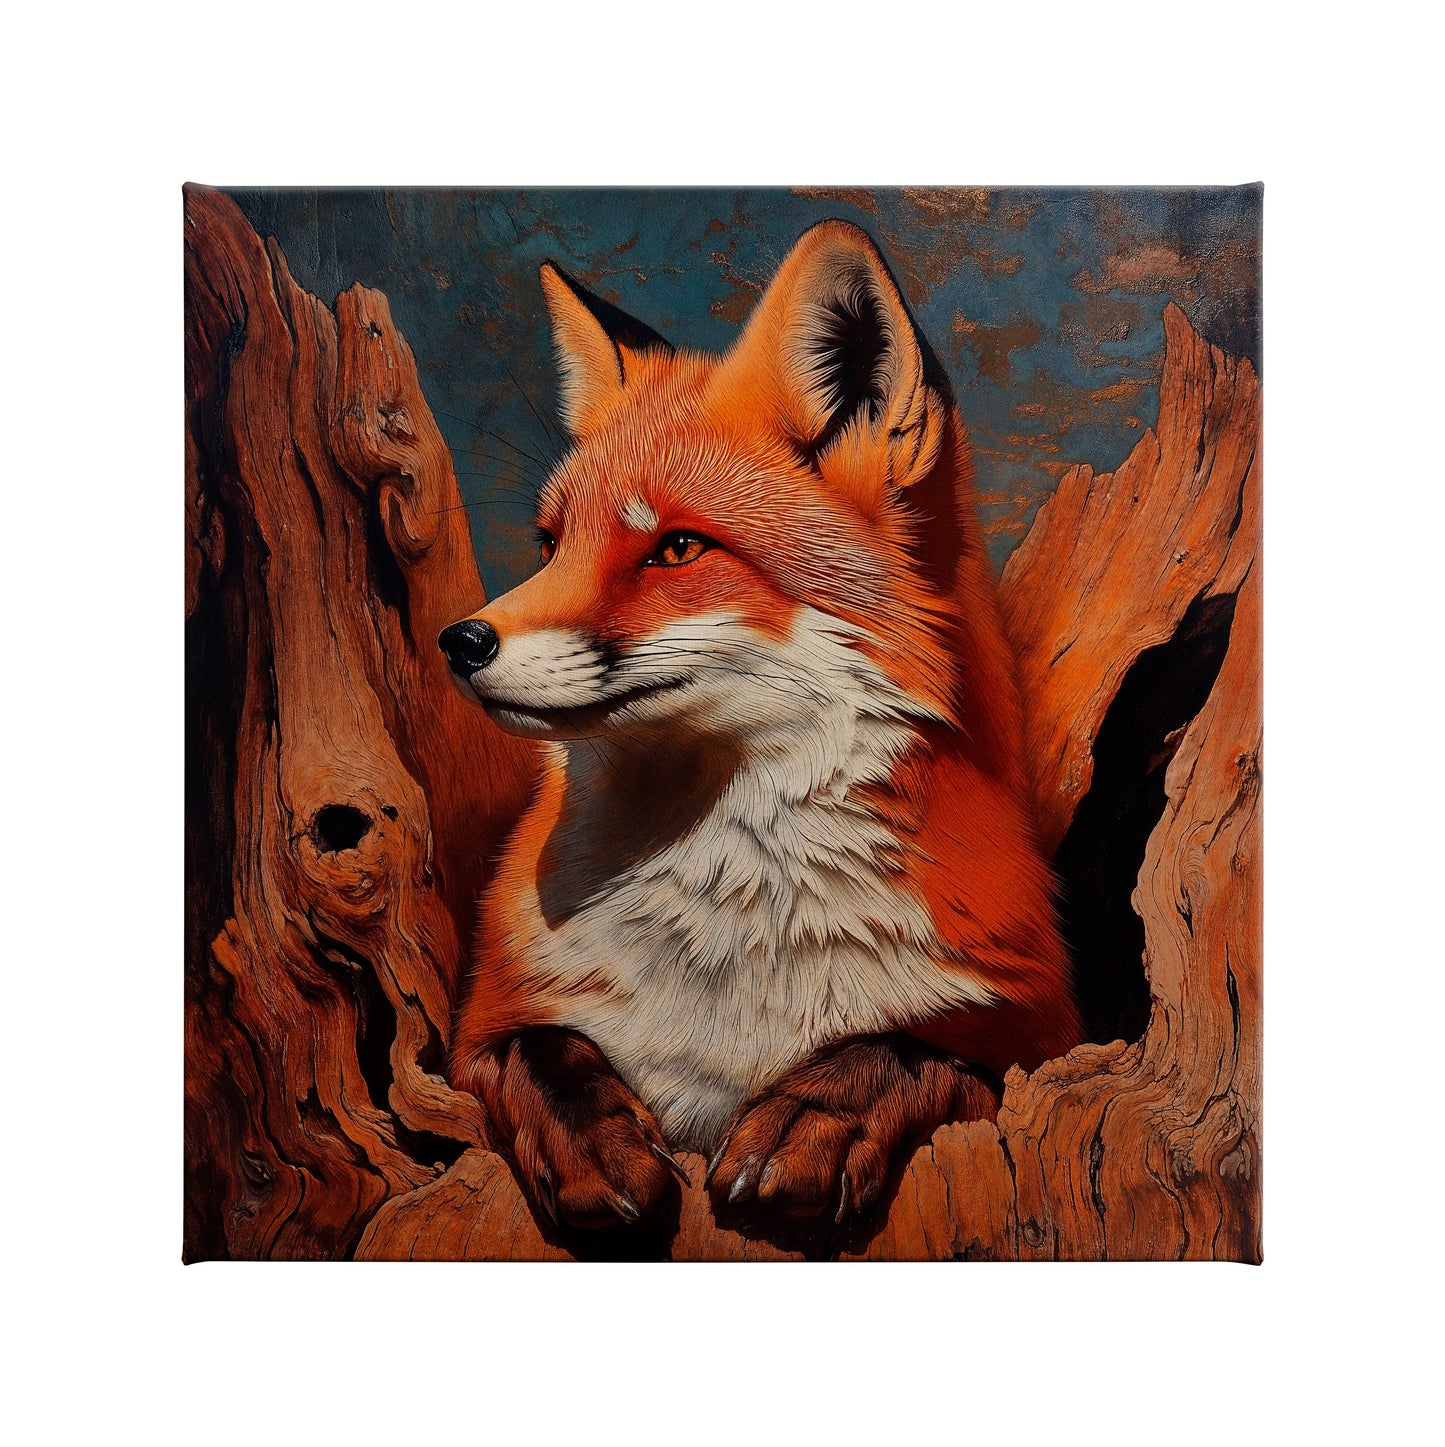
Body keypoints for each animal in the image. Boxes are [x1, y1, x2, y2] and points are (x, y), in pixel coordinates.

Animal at [439, 221, 1084, 1235]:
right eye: (550, 543)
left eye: (676, 548)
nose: (460, 641)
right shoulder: (483, 1029)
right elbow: (539, 1052)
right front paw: (594, 1145)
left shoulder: (1039, 1034)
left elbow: (911, 1050)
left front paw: (811, 1119)